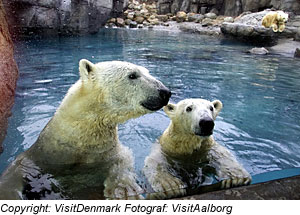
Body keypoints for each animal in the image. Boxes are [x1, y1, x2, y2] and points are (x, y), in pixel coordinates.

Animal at [0, 59, 170, 200]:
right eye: (133, 75)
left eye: (147, 71)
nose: (165, 92)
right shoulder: (41, 157)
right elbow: (15, 173)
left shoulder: (107, 152)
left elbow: (123, 160)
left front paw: (124, 191)